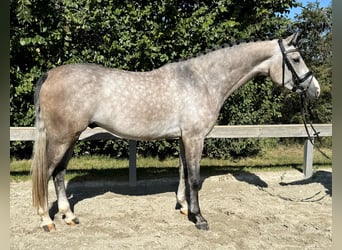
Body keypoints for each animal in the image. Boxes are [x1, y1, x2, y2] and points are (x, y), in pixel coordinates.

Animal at [30, 32, 320, 231]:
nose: (315, 89)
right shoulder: (195, 138)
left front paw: (183, 207)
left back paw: (69, 216)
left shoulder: (183, 138)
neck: (204, 81)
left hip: (70, 138)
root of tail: (51, 74)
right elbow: (194, 178)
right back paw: (46, 220)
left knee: (59, 173)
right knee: (46, 173)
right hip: (62, 138)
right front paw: (199, 218)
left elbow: (182, 173)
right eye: (295, 58)